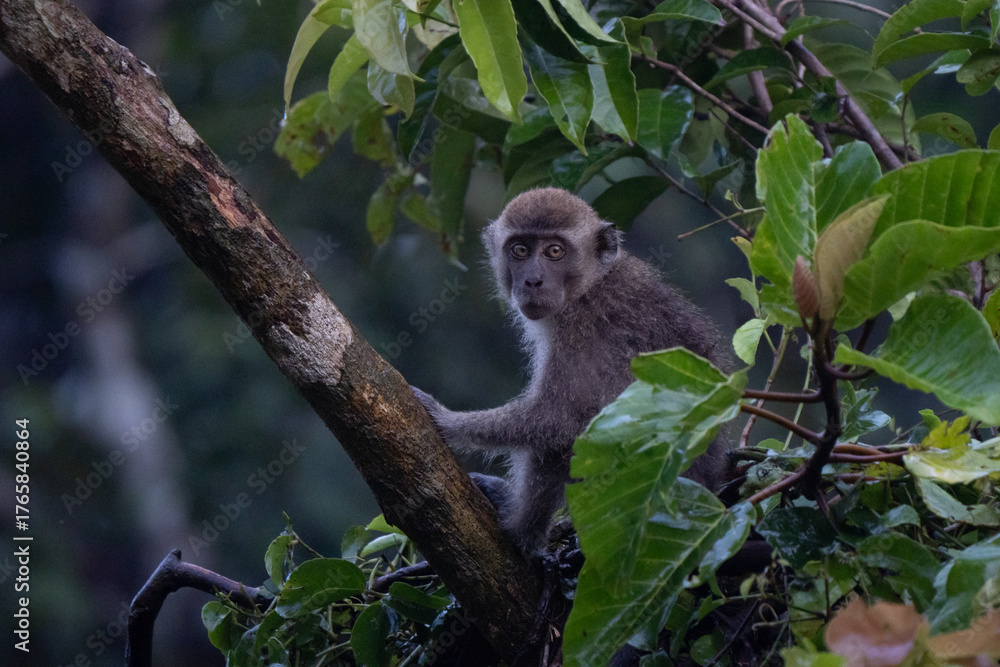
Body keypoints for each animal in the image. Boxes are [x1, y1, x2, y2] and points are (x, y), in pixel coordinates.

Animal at [412, 187, 731, 554]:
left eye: (555, 251)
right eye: (520, 250)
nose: (532, 280)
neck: (590, 285)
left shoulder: (581, 330)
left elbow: (561, 417)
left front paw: (444, 420)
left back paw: (521, 532)